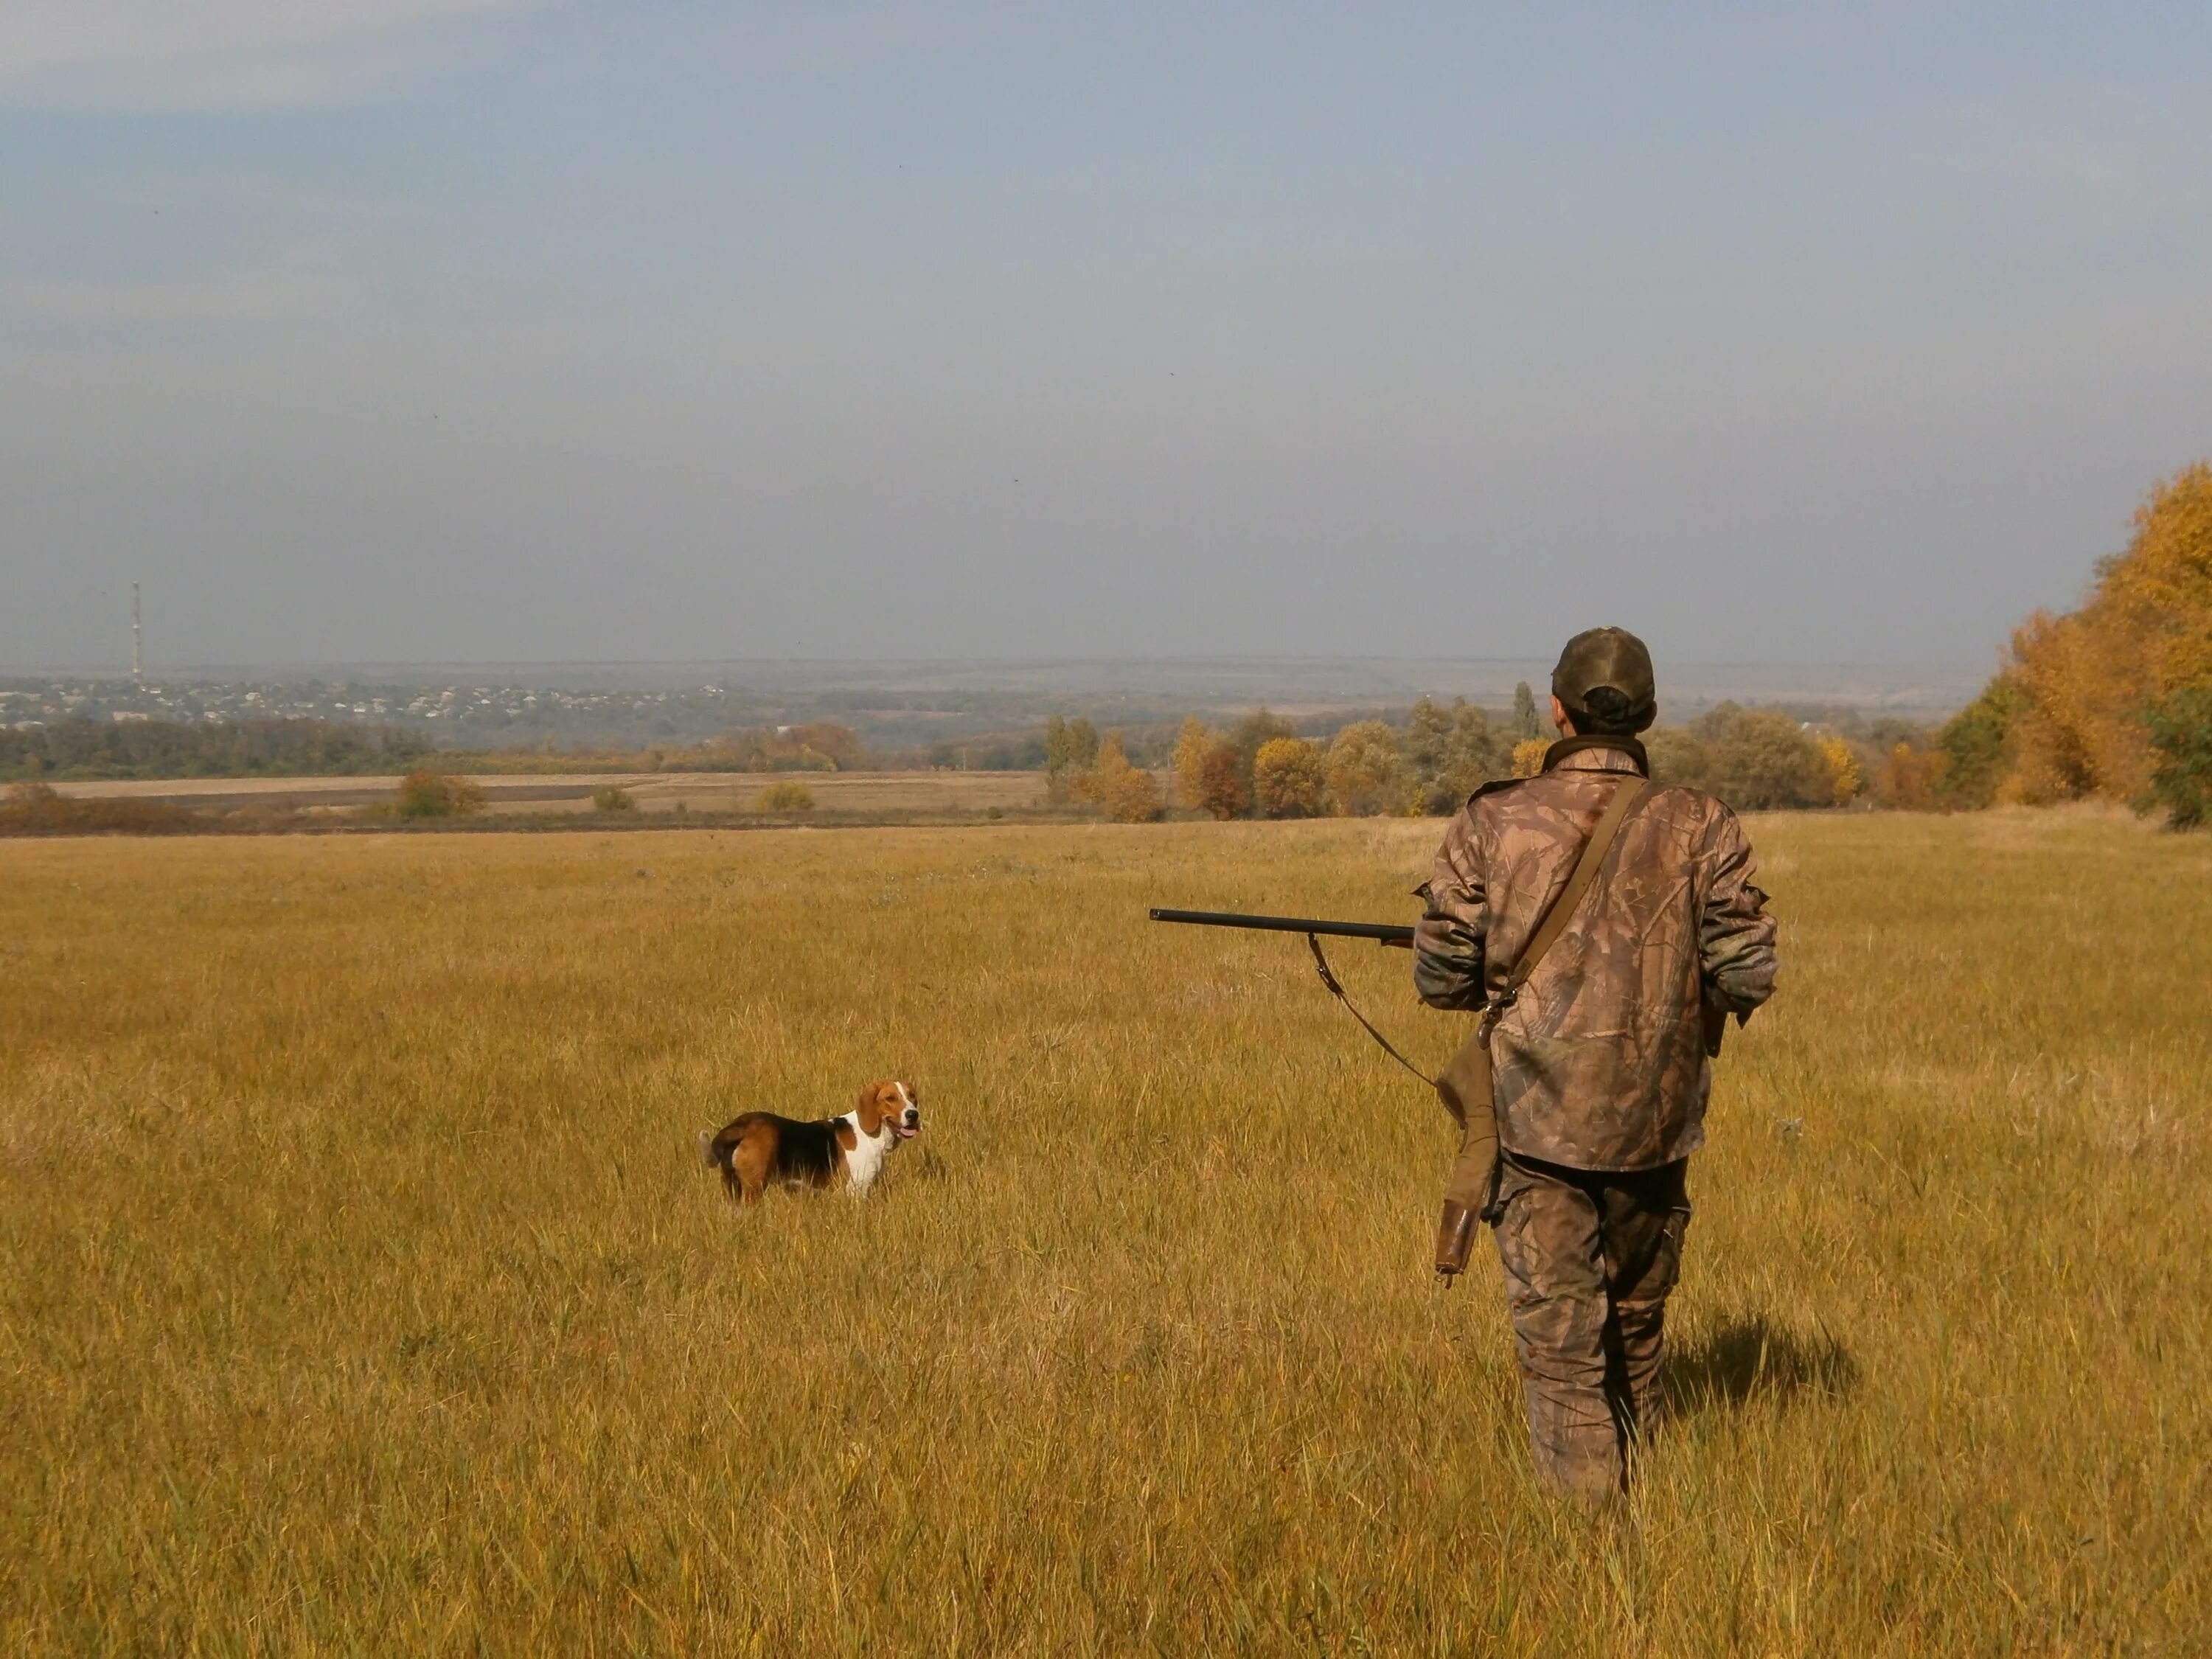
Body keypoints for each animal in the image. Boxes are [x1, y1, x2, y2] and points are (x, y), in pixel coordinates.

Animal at [703, 1079, 920, 1212]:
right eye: (890, 1098)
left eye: (912, 1096)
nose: (913, 1115)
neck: (871, 1136)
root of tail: (742, 1125)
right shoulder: (857, 1190)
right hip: (753, 1188)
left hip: (732, 1187)